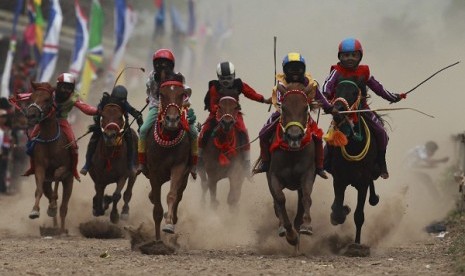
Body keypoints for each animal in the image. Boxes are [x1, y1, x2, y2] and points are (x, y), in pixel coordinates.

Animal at [23, 82, 73, 233]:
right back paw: (55, 225)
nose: (31, 115)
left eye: (46, 99)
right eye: (31, 98)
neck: (50, 142)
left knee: (64, 207)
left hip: (69, 181)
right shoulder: (40, 167)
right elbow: (39, 190)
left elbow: (57, 175)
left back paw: (62, 229)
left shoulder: (64, 167)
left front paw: (52, 206)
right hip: (47, 182)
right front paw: (35, 211)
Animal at [143, 74, 190, 240]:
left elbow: (172, 195)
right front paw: (157, 238)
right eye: (161, 94)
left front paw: (169, 223)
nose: (172, 120)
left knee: (179, 194)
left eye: (182, 94)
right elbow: (156, 207)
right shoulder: (154, 170)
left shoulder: (179, 166)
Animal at [264, 82, 316, 248]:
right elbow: (280, 199)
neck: (292, 153)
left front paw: (306, 225)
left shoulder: (307, 173)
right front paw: (290, 234)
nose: (294, 136)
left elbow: (306, 197)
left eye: (305, 108)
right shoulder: (273, 175)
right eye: (284, 107)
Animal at [324, 78, 378, 256]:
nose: (338, 110)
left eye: (354, 92)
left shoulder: (363, 183)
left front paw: (356, 246)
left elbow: (359, 215)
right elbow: (336, 207)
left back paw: (374, 198)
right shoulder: (339, 180)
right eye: (336, 90)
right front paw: (340, 213)